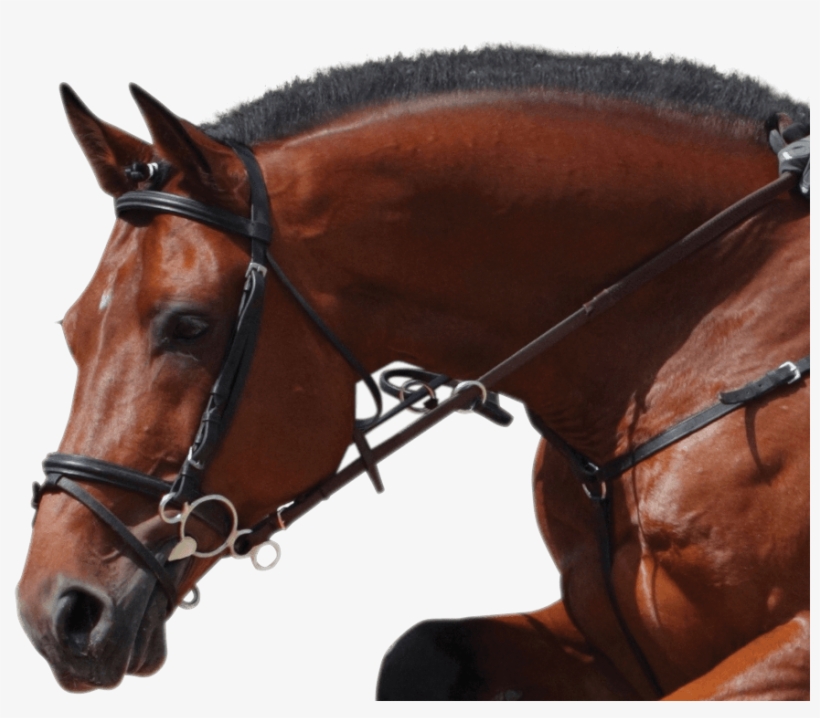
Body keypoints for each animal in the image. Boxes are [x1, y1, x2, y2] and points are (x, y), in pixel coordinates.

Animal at [16, 49, 809, 700]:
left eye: (187, 326)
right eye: (73, 330)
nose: (58, 613)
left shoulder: (787, 649)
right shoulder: (606, 641)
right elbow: (418, 652)